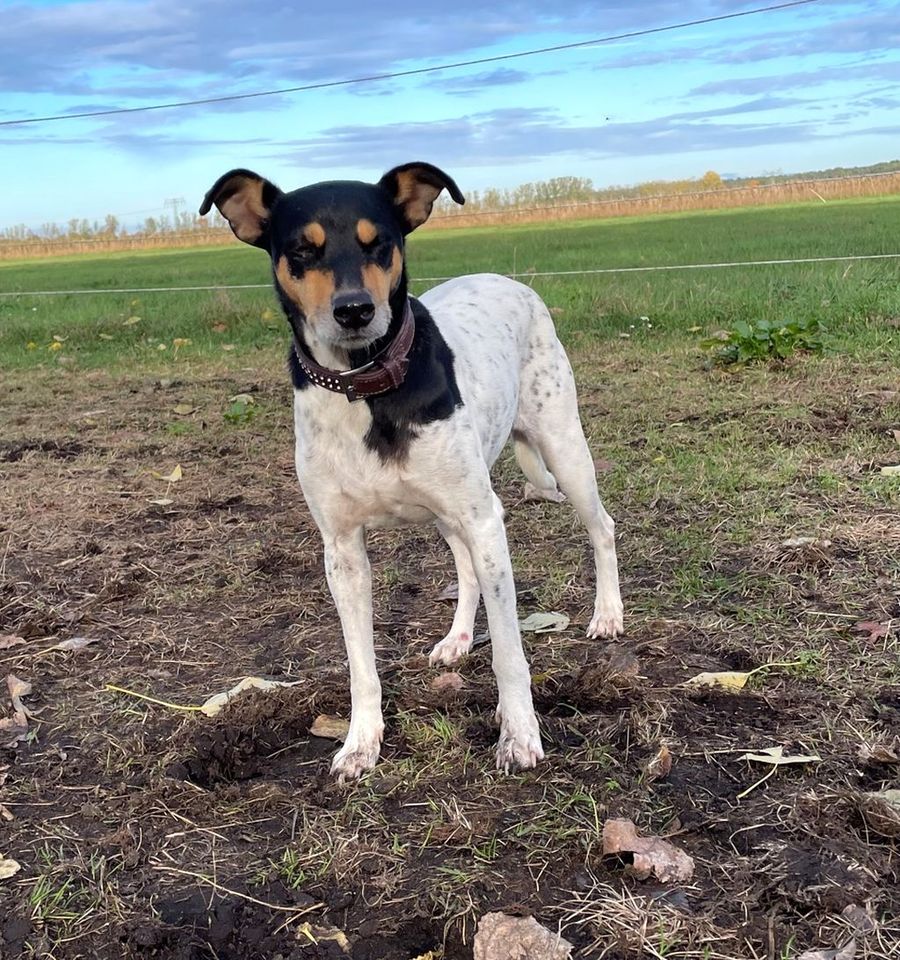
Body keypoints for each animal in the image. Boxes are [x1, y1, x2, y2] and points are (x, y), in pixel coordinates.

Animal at [198, 163, 624, 780]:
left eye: (380, 242)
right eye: (302, 249)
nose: (354, 311)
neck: (365, 386)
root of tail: (508, 280)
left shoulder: (483, 520)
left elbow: (510, 651)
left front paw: (519, 733)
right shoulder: (342, 551)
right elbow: (361, 666)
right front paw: (361, 741)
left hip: (563, 450)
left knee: (601, 527)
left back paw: (608, 614)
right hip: (454, 511)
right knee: (467, 567)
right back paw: (458, 637)